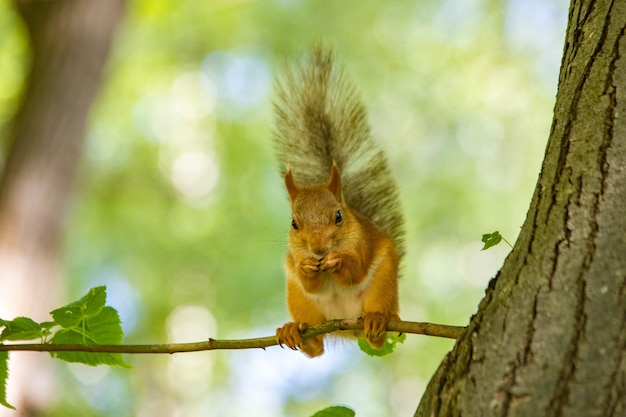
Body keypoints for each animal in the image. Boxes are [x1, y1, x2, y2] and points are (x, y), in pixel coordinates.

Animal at [272, 45, 404, 358]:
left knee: (378, 337)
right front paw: (307, 267)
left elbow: (354, 271)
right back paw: (292, 330)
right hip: (300, 301)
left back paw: (377, 320)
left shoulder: (362, 242)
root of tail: (348, 328)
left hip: (383, 286)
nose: (319, 249)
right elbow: (310, 282)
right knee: (314, 346)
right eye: (294, 223)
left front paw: (339, 261)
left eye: (339, 216)